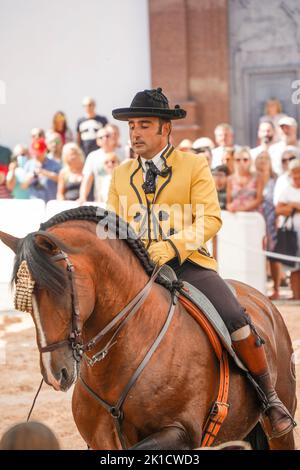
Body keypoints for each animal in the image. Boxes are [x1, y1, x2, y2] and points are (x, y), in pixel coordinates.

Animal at [0, 207, 296, 450]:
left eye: (61, 288)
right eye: (24, 302)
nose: (54, 374)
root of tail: (262, 300)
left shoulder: (180, 432)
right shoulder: (100, 440)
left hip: (280, 426)